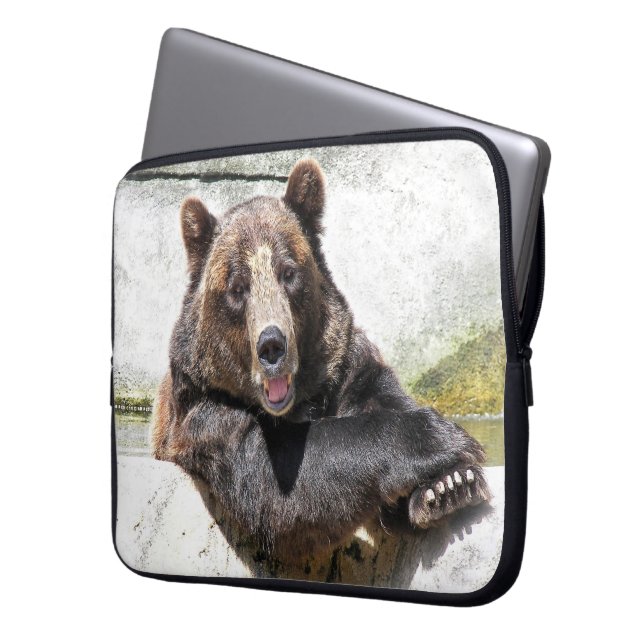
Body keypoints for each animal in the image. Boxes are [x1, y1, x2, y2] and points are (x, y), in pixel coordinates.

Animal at [152, 158, 491, 562]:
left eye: (288, 272)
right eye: (237, 286)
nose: (271, 346)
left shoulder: (347, 367)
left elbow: (381, 396)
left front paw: (449, 485)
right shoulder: (207, 415)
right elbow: (277, 479)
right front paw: (441, 438)